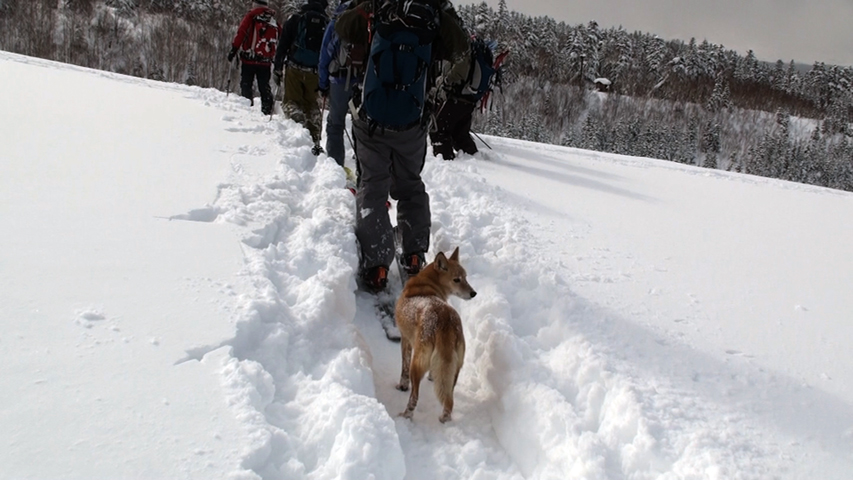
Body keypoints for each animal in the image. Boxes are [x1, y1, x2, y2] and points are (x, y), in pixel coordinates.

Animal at [394, 247, 476, 423]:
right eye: (457, 279)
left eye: (465, 277)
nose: (474, 293)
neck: (426, 284)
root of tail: (445, 322)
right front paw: (432, 377)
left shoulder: (405, 340)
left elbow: (403, 370)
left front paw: (402, 386)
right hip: (455, 369)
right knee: (449, 401)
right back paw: (444, 419)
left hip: (417, 364)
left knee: (414, 398)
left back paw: (405, 416)